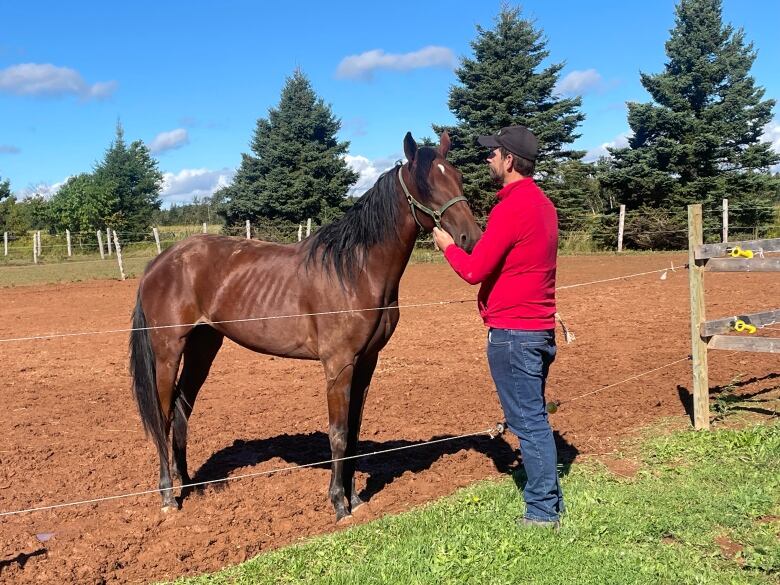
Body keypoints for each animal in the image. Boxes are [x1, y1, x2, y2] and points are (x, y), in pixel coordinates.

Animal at [129, 131, 482, 520]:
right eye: (425, 183)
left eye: (457, 176)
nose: (470, 238)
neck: (355, 271)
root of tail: (159, 262)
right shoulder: (338, 365)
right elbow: (338, 433)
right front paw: (339, 505)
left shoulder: (366, 362)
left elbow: (354, 432)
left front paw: (356, 499)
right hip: (168, 351)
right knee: (162, 414)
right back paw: (168, 496)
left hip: (203, 347)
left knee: (182, 408)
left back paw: (188, 484)